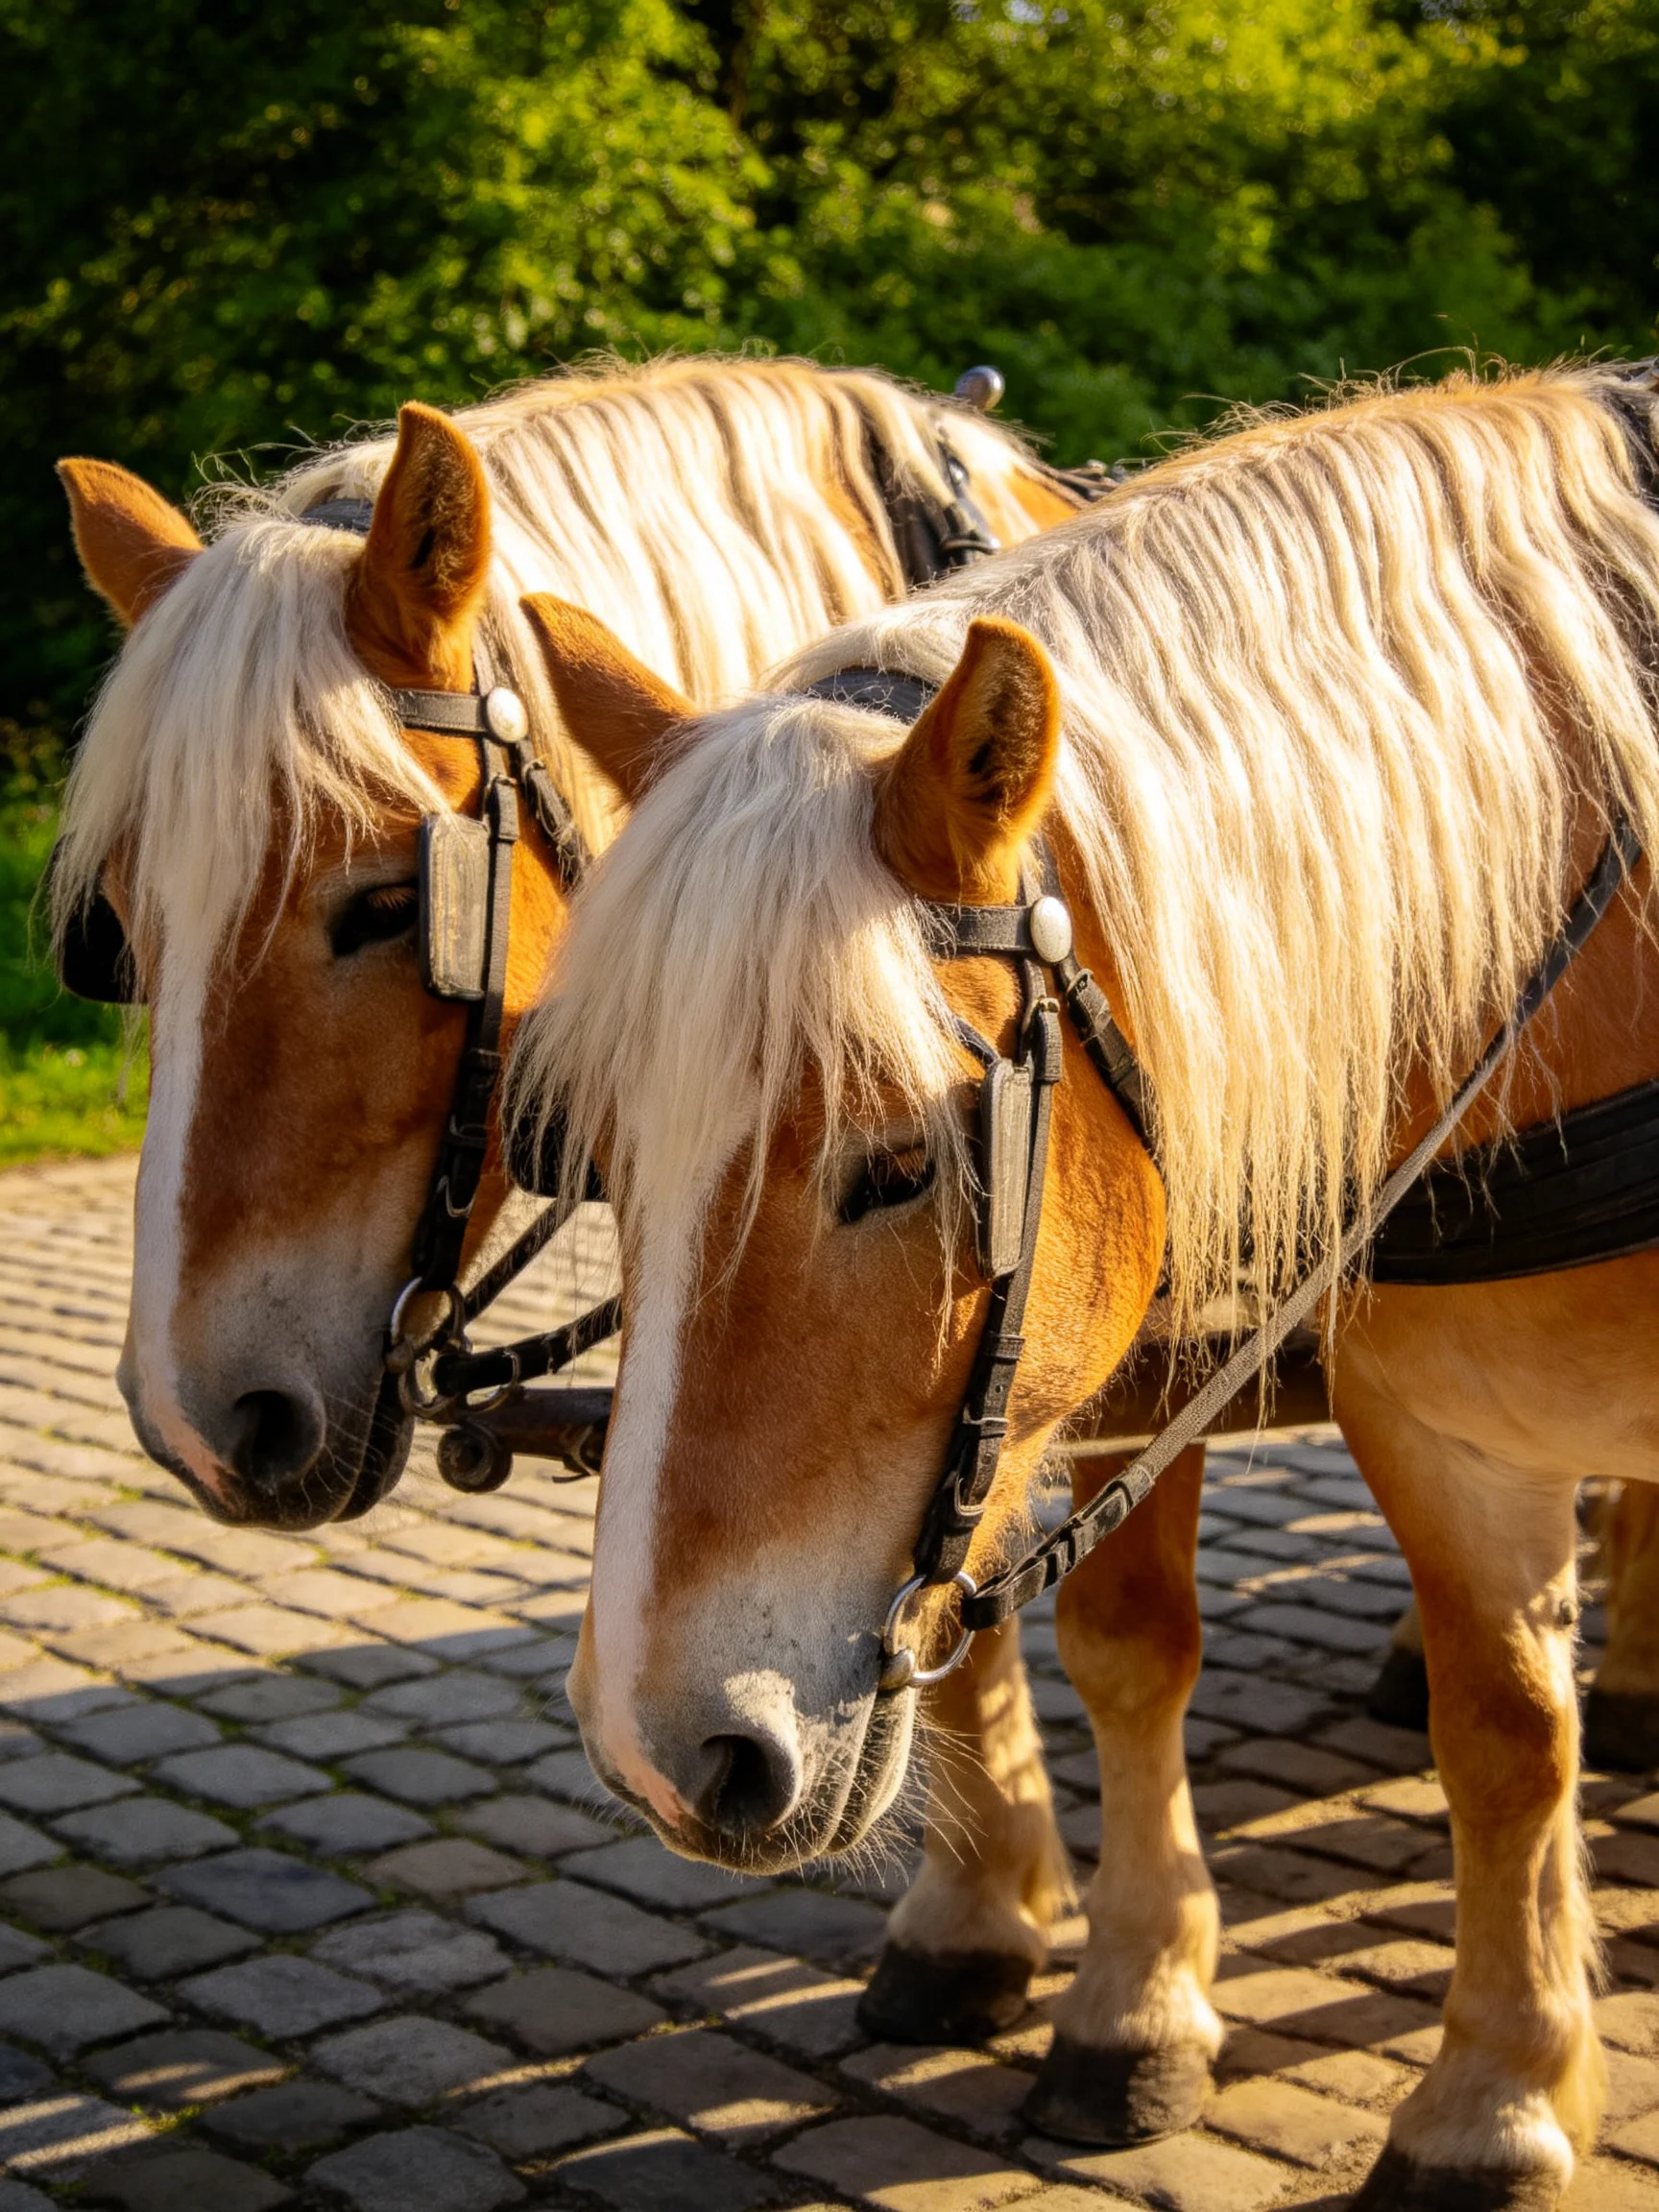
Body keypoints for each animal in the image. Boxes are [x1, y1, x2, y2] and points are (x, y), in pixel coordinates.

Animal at [505, 364, 1659, 2211]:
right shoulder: (1438, 1430)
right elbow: (1496, 1733)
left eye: (902, 1160)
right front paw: (1497, 2092)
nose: (656, 1742)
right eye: (602, 1149)